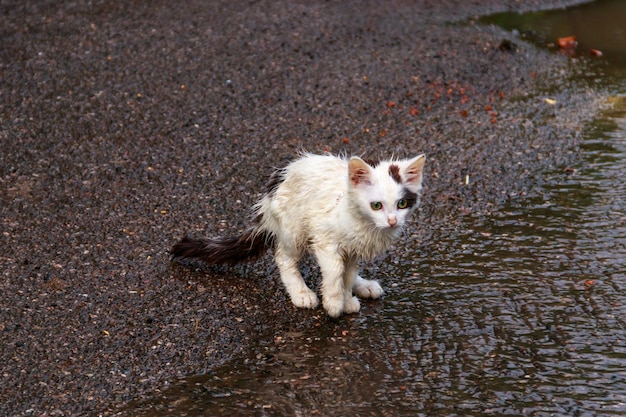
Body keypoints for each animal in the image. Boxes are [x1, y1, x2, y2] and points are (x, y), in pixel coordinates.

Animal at [171, 152, 424, 316]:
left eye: (401, 204)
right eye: (376, 205)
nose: (392, 221)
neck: (363, 223)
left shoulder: (352, 249)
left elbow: (348, 273)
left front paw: (346, 296)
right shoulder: (324, 237)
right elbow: (335, 271)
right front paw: (334, 303)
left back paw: (363, 286)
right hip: (294, 227)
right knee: (284, 258)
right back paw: (301, 292)